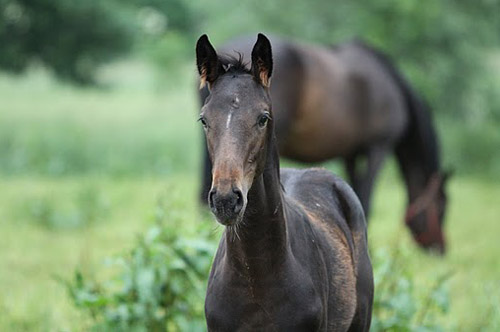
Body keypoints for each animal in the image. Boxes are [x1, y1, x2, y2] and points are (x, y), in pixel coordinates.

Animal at [198, 33, 450, 253]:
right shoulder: (377, 147)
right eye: (442, 205)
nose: (439, 249)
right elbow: (367, 197)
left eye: (262, 119)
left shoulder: (351, 153)